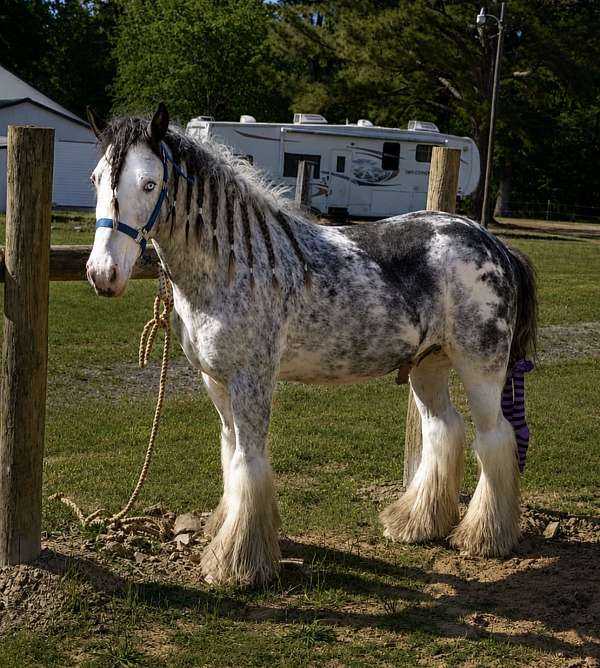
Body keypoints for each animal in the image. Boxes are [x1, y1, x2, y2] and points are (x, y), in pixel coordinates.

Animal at [85, 103, 537, 587]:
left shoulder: (252, 381)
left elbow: (249, 463)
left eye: (149, 183)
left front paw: (237, 564)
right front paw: (224, 533)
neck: (234, 267)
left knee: (494, 438)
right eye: (96, 178)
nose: (103, 274)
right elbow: (230, 454)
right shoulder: (216, 382)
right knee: (443, 430)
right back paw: (415, 524)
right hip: (427, 366)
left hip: (481, 366)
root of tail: (493, 243)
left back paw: (484, 538)